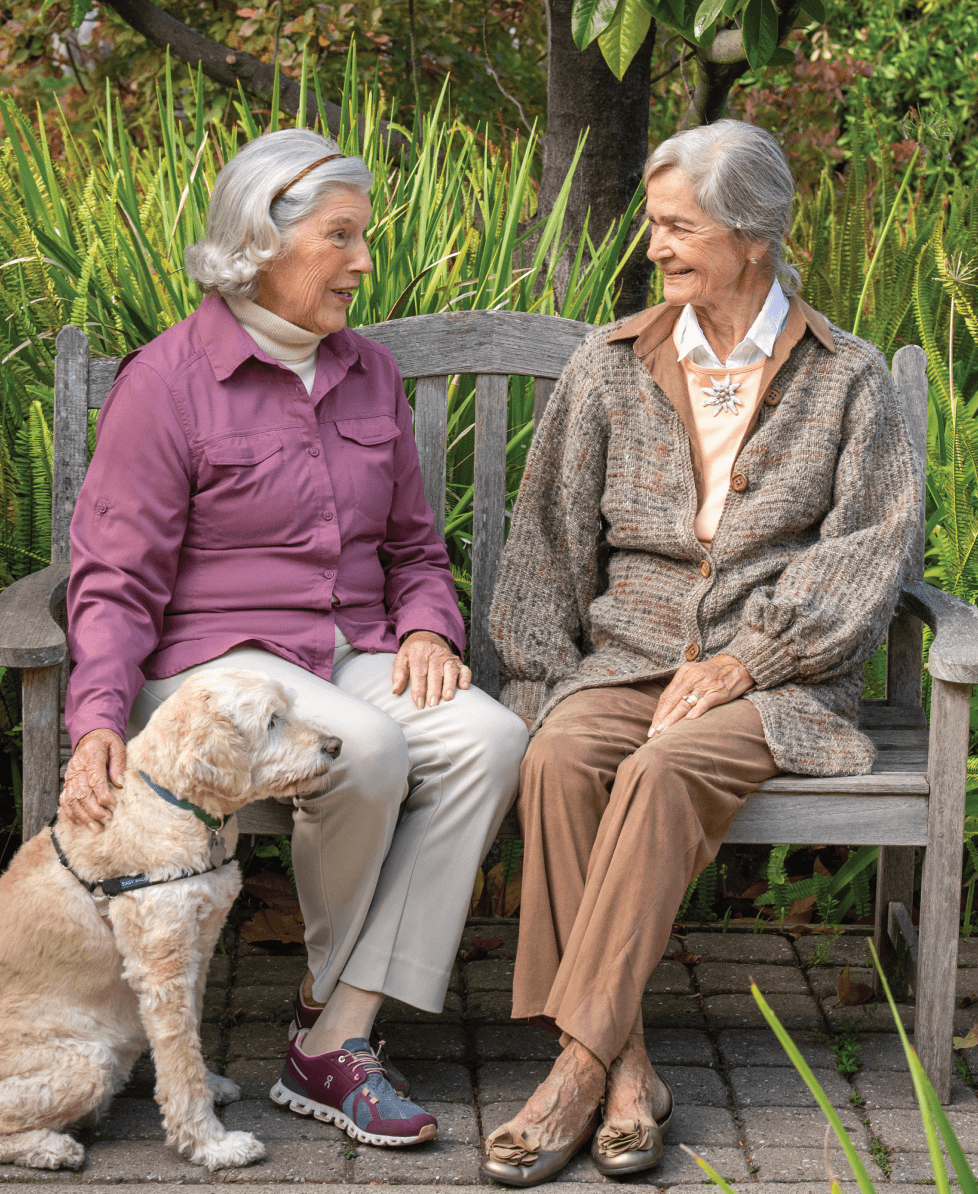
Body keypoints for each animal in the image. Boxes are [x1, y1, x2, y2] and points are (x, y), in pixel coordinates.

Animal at [0, 673, 341, 1174]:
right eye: (272, 721)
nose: (335, 745)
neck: (174, 801)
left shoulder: (200, 942)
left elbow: (190, 1034)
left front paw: (211, 1084)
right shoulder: (161, 966)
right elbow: (179, 1058)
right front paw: (211, 1143)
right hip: (87, 1059)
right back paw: (52, 1147)